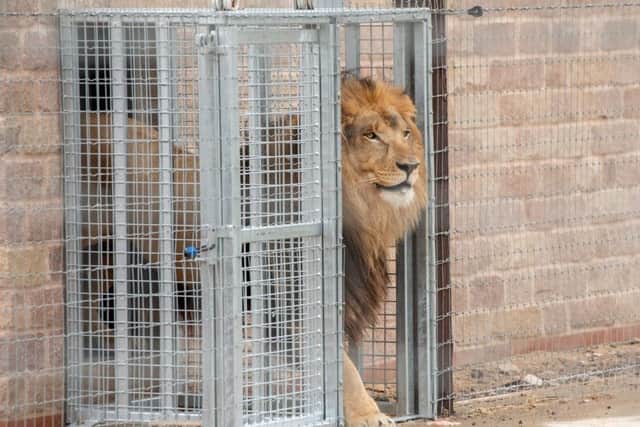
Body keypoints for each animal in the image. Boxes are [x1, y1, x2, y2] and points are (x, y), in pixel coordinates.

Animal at [78, 76, 426, 426]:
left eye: (405, 134)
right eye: (371, 135)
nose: (411, 166)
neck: (361, 210)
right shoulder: (291, 304)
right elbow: (344, 369)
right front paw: (369, 415)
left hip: (108, 251)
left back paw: (107, 345)